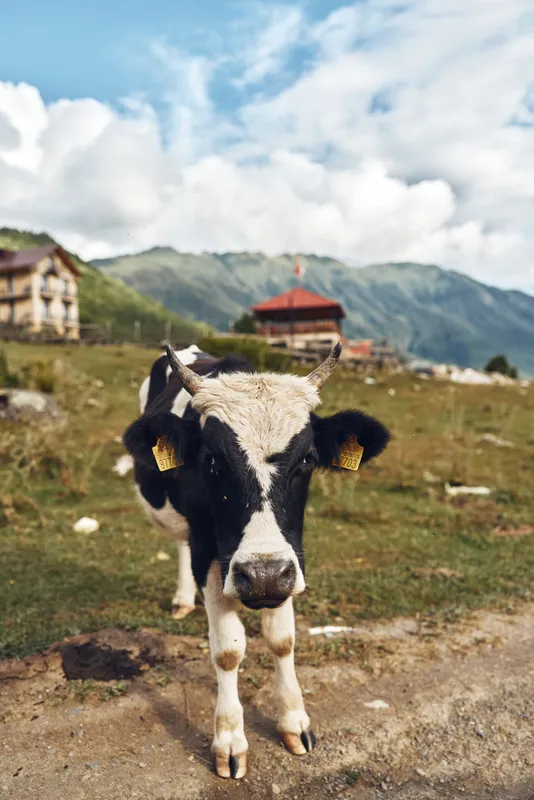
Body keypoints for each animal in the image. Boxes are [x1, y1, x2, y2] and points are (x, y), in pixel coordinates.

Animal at [123, 342, 390, 780]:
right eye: (211, 460)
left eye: (307, 459)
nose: (260, 575)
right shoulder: (210, 553)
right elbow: (228, 650)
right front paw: (229, 740)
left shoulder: (288, 564)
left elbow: (283, 640)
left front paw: (295, 722)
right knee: (180, 543)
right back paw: (182, 599)